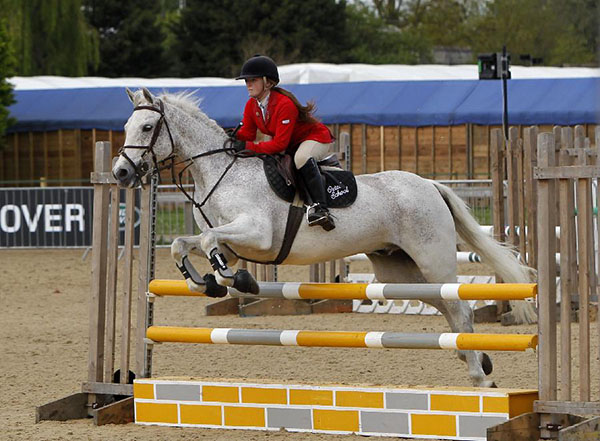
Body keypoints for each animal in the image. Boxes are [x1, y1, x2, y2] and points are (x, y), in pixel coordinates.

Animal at [115, 87, 536, 386]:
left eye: (148, 128)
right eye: (126, 128)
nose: (121, 173)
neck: (221, 172)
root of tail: (430, 184)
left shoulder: (258, 234)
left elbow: (207, 243)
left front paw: (237, 281)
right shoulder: (233, 244)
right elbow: (184, 245)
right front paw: (205, 282)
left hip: (433, 260)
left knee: (460, 309)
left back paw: (479, 376)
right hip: (400, 271)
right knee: (449, 311)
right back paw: (474, 360)